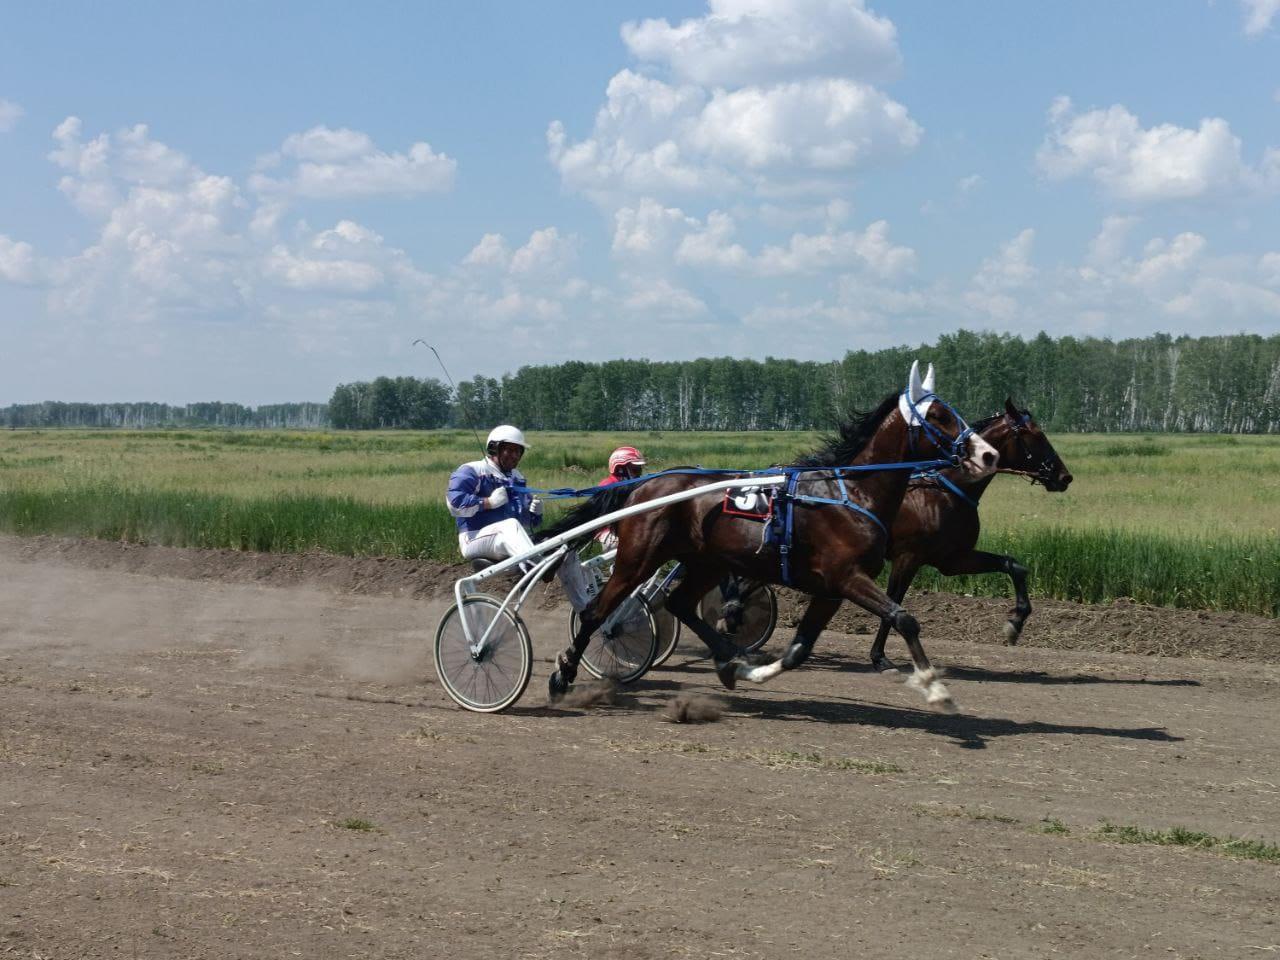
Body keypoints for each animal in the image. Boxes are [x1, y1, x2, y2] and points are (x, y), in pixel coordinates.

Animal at [540, 363, 998, 711]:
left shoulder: (831, 588)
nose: (987, 454)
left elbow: (798, 650)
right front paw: (935, 688)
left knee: (679, 603)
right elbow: (904, 618)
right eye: (938, 416)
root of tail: (644, 486)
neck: (853, 492)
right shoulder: (848, 577)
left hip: (706, 562)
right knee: (596, 613)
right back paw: (563, 677)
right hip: (639, 556)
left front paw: (754, 669)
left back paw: (728, 662)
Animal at [865, 399, 1075, 675]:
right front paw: (879, 657)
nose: (1064, 476)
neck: (942, 494)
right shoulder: (907, 558)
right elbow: (894, 601)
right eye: (1037, 435)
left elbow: (1013, 565)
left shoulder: (953, 559)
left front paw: (1015, 622)